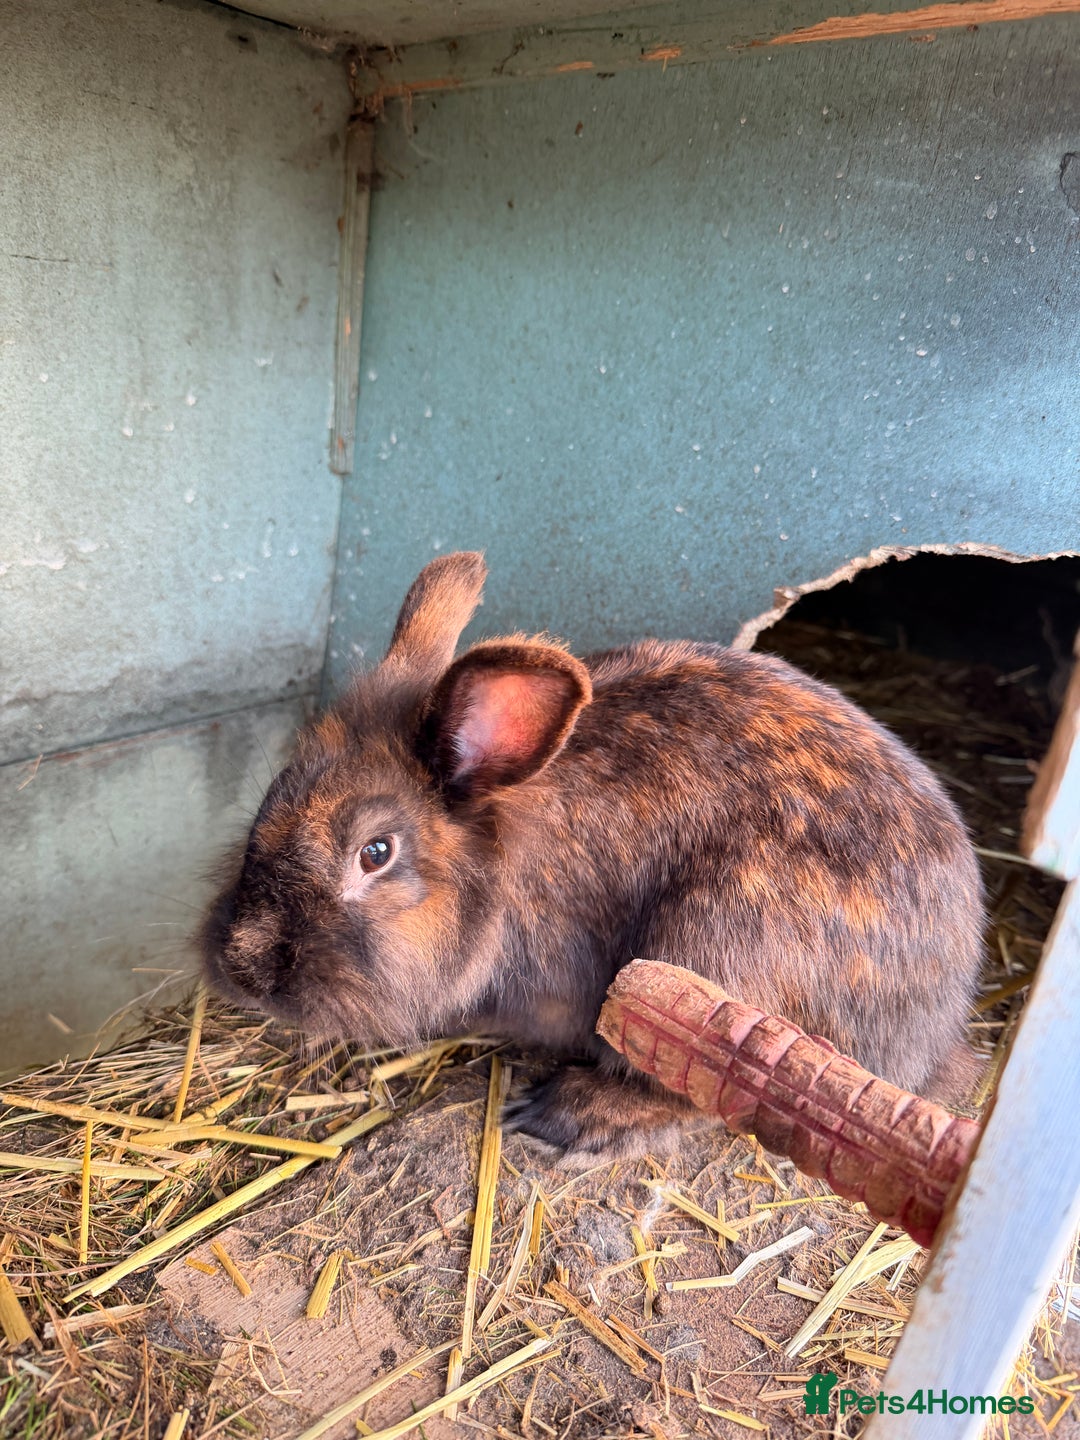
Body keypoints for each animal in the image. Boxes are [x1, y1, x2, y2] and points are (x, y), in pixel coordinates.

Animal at [202, 551, 986, 1159]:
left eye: (376, 852)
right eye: (270, 798)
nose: (243, 968)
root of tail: (934, 1024)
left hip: (711, 954)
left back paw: (571, 1114)